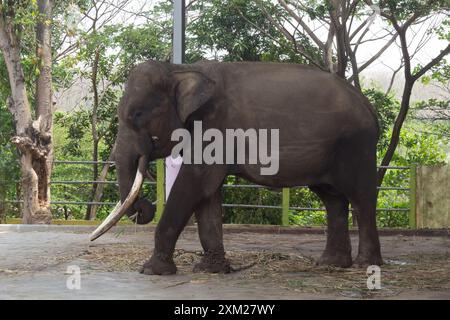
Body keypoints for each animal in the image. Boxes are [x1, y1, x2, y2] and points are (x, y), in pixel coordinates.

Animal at [91, 60, 384, 276]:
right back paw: (331, 264)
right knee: (332, 199)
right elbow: (208, 195)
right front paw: (211, 270)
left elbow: (194, 183)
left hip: (356, 145)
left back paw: (365, 264)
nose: (145, 208)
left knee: (361, 198)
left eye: (137, 115)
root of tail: (369, 106)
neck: (179, 68)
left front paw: (152, 271)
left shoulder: (215, 125)